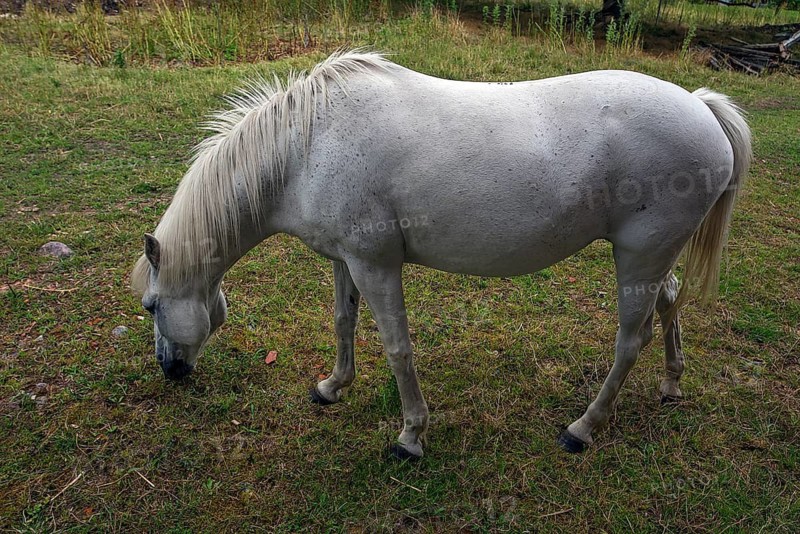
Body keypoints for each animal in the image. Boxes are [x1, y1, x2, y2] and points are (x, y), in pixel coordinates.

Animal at [131, 51, 751, 459]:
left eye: (151, 306)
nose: (169, 370)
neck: (306, 147)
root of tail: (701, 107)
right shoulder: (345, 261)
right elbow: (343, 323)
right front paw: (332, 387)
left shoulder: (376, 265)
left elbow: (397, 348)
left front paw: (411, 436)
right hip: (652, 257)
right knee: (668, 305)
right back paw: (671, 385)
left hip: (639, 257)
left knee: (630, 339)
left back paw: (583, 428)